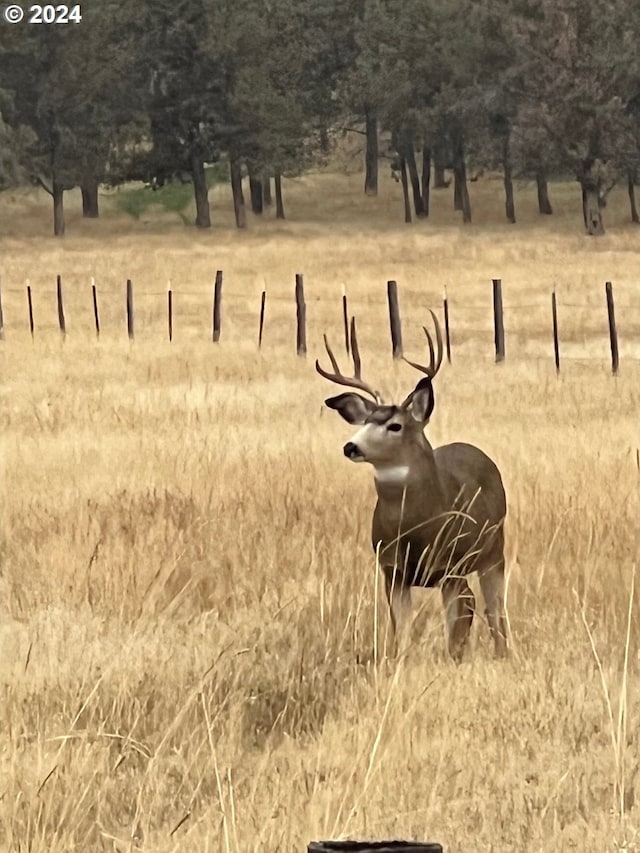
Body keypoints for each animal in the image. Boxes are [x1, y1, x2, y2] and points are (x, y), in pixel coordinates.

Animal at [318, 310, 508, 664]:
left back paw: (502, 653)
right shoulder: (391, 570)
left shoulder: (449, 565)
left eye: (395, 425)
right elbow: (402, 633)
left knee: (492, 609)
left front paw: (453, 661)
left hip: (493, 550)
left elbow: (456, 623)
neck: (415, 528)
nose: (351, 446)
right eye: (366, 421)